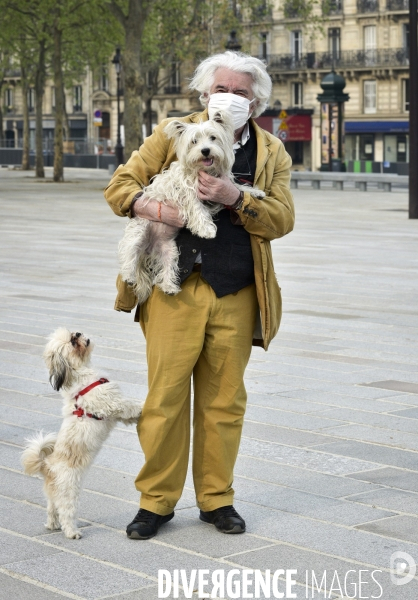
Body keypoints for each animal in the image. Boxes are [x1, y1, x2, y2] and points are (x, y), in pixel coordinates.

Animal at [22, 328, 143, 540]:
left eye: (73, 333)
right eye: (72, 341)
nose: (78, 333)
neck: (80, 373)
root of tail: (47, 466)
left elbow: (126, 414)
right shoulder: (111, 402)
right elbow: (128, 405)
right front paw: (143, 406)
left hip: (53, 494)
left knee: (52, 509)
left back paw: (52, 525)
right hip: (69, 491)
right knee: (65, 512)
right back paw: (72, 532)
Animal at [117, 110, 264, 302]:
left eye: (213, 137)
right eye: (194, 141)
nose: (205, 150)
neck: (204, 170)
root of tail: (148, 249)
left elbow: (237, 188)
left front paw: (254, 192)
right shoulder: (188, 194)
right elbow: (198, 210)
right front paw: (206, 230)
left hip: (170, 251)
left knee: (167, 268)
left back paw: (169, 287)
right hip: (138, 234)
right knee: (130, 256)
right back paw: (129, 275)